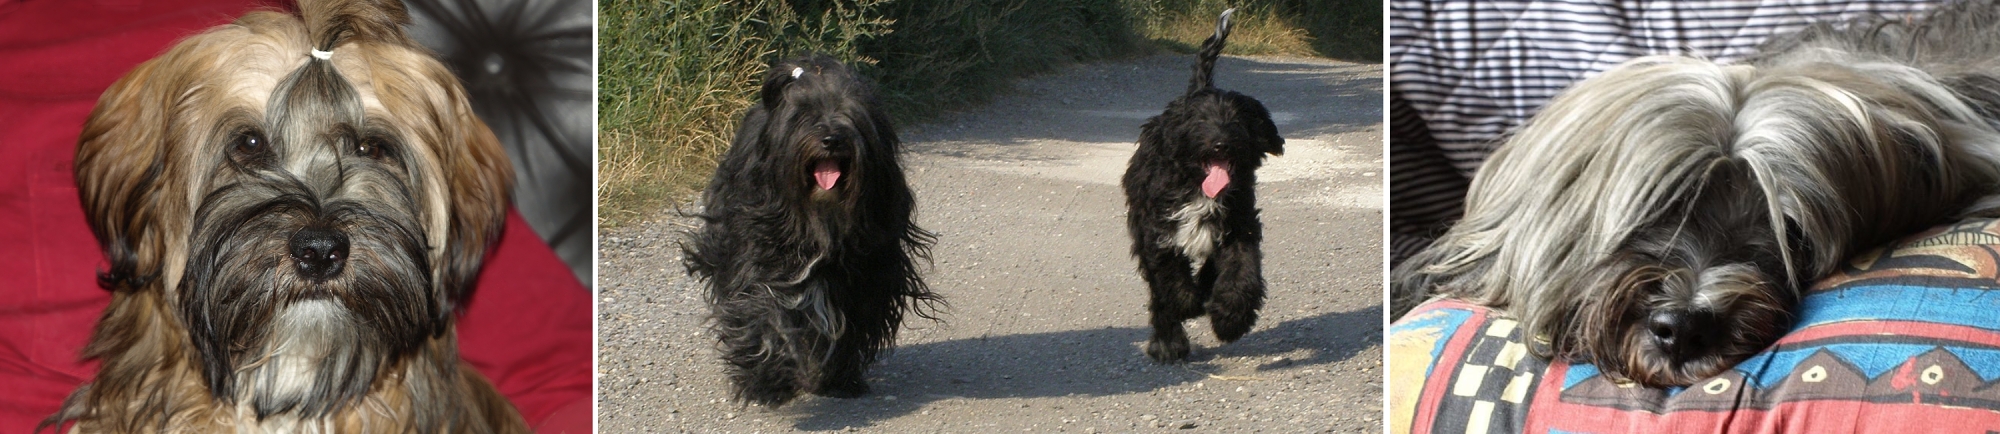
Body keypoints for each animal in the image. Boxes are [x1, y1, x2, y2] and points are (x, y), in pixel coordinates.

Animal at [684, 54, 940, 406]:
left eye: (851, 114)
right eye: (805, 115)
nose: (831, 138)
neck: (818, 219)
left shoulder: (865, 275)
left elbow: (848, 328)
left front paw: (838, 378)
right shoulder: (760, 262)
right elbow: (763, 317)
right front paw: (767, 381)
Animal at [1120, 9, 1288, 362]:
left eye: (1238, 121)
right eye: (1201, 121)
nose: (1221, 143)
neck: (1198, 189)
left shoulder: (1240, 225)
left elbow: (1241, 271)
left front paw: (1230, 318)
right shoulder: (1158, 231)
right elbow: (1170, 278)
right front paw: (1188, 305)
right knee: (1159, 291)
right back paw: (1168, 341)